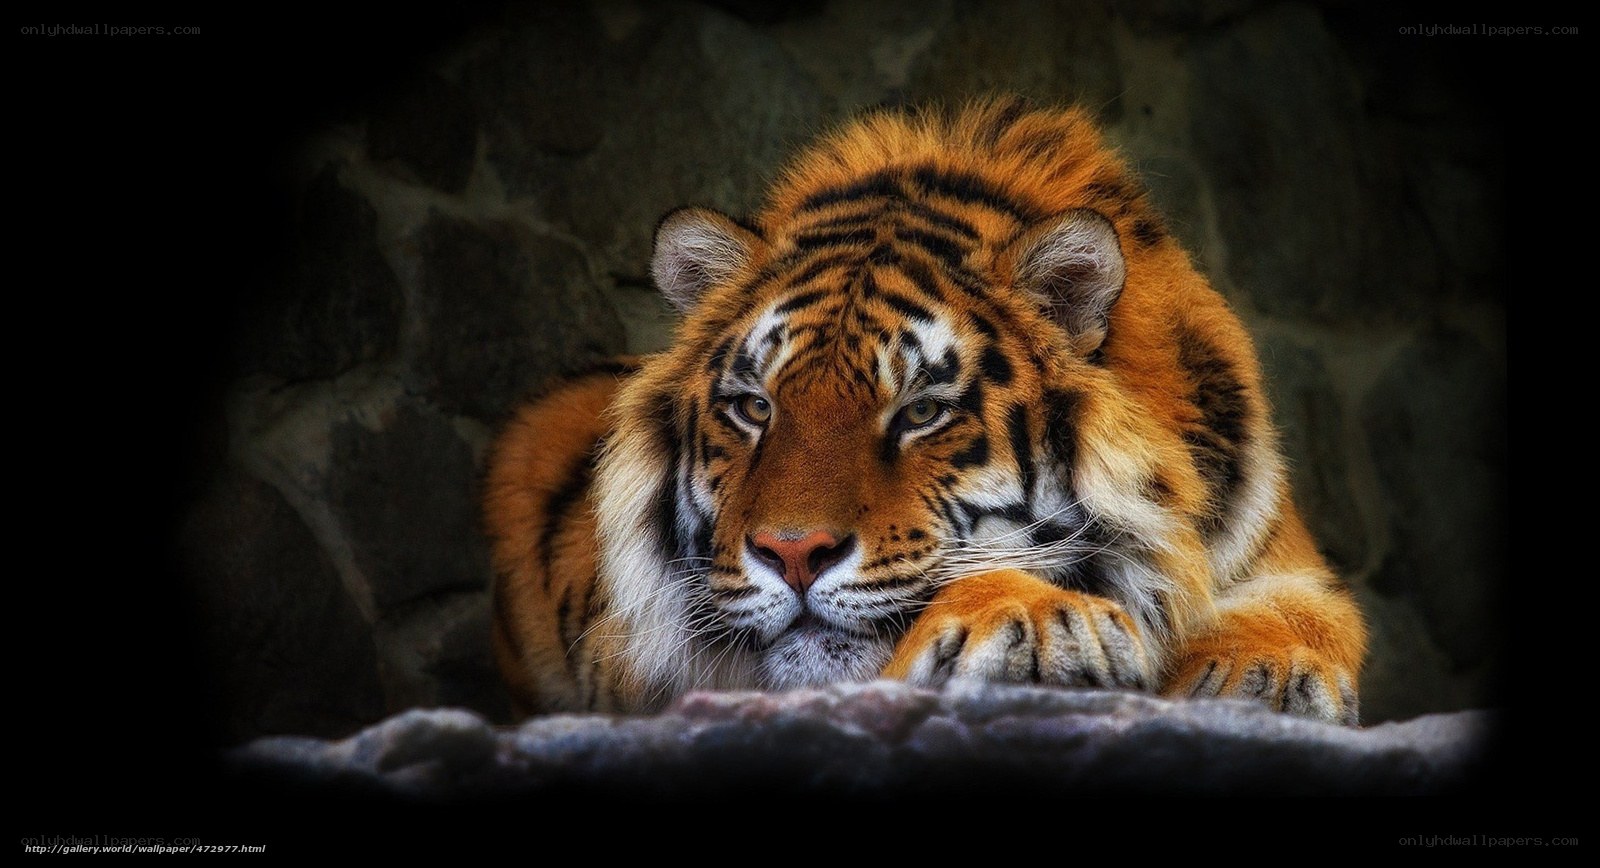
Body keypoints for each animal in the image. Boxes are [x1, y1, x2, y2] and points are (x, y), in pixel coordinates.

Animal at [485, 97, 1366, 725]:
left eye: (920, 413)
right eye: (754, 407)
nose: (792, 554)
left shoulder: (1281, 556)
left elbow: (1307, 614)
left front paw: (1261, 672)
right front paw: (1038, 620)